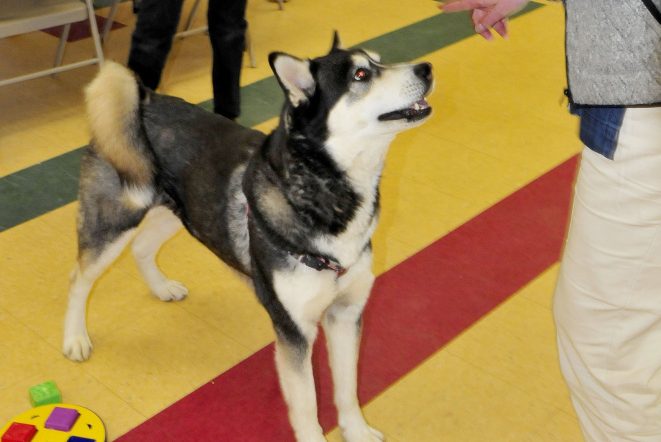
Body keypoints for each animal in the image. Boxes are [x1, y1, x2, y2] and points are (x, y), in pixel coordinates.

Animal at [63, 34, 434, 442]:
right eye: (361, 75)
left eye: (378, 61)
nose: (426, 68)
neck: (327, 195)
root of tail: (143, 98)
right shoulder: (294, 331)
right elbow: (306, 403)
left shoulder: (346, 312)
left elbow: (348, 387)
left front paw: (357, 431)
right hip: (115, 219)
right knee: (79, 277)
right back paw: (75, 339)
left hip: (184, 211)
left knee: (143, 247)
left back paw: (162, 288)